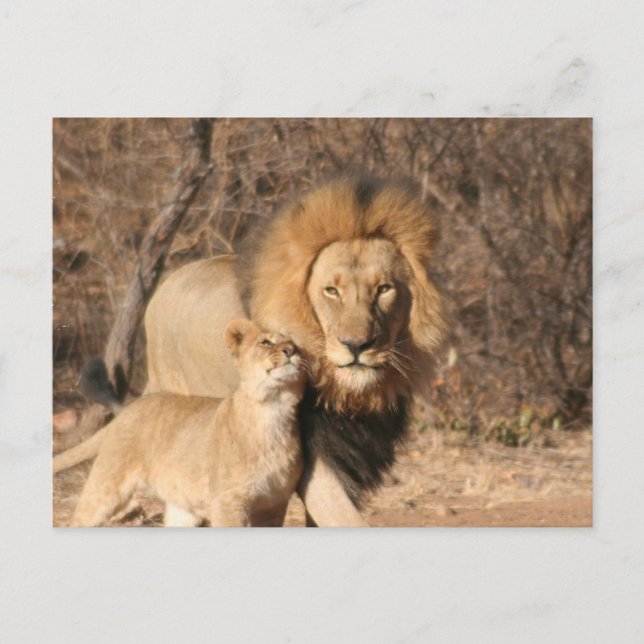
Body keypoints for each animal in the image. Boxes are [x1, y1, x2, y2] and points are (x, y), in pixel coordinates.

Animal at [69, 319, 306, 527]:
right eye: (266, 342)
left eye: (295, 345)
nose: (290, 351)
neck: (273, 408)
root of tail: (130, 406)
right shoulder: (227, 502)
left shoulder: (273, 503)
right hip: (104, 489)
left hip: (182, 507)